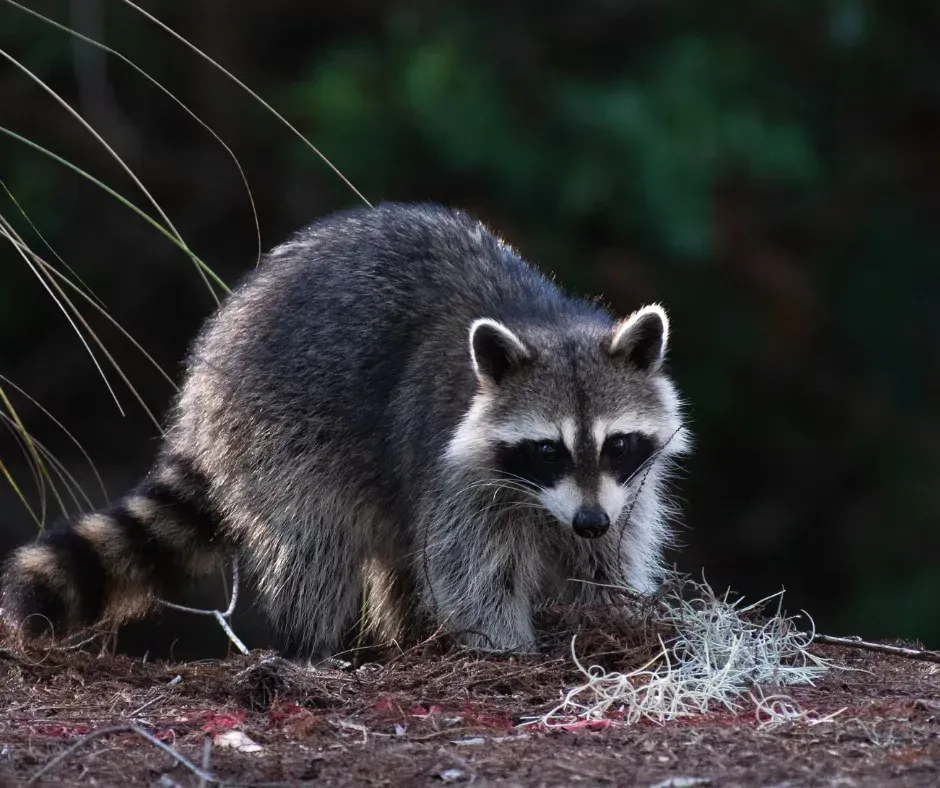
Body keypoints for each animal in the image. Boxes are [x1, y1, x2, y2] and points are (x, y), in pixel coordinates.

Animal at [1, 202, 690, 659]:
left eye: (617, 443)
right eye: (547, 449)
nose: (588, 521)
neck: (546, 322)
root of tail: (206, 372)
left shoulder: (623, 488)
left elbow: (610, 551)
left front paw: (615, 612)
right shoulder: (454, 467)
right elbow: (472, 569)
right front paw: (504, 646)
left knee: (400, 553)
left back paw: (409, 637)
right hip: (281, 429)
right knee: (316, 542)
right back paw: (312, 648)